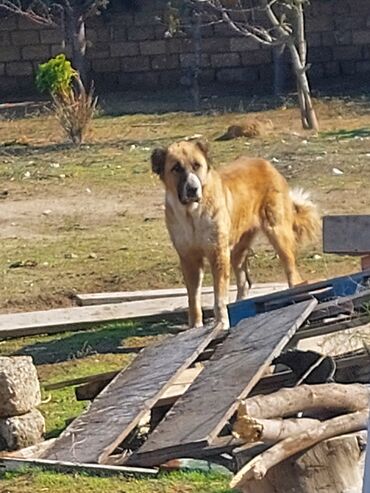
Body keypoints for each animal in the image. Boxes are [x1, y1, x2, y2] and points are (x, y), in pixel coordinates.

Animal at [152, 140, 320, 328]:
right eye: (176, 168)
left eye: (197, 165)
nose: (193, 189)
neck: (191, 215)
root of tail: (266, 164)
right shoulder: (189, 259)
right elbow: (193, 298)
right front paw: (195, 326)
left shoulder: (218, 253)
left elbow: (219, 296)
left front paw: (222, 322)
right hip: (237, 250)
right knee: (244, 282)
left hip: (277, 234)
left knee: (293, 274)